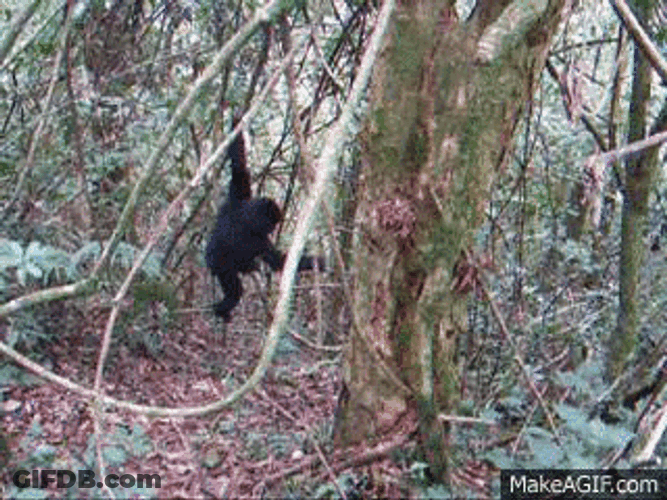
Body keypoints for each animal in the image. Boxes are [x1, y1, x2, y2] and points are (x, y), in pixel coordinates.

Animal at [206, 132, 324, 322]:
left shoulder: (238, 198)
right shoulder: (257, 236)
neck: (247, 217)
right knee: (234, 287)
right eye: (271, 224)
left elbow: (238, 165)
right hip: (220, 267)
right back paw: (224, 307)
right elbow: (276, 261)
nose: (273, 229)